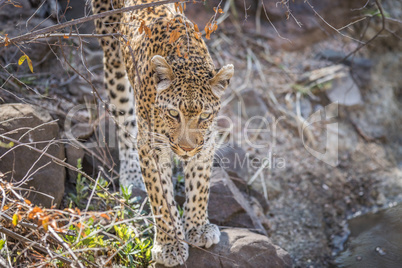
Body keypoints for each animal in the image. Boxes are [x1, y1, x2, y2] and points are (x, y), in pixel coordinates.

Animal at [92, 0, 234, 266]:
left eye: (204, 116)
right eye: (173, 114)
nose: (186, 148)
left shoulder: (205, 142)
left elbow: (200, 185)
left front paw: (198, 227)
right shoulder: (153, 147)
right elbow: (161, 198)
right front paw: (170, 244)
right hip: (112, 53)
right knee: (124, 118)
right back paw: (131, 174)